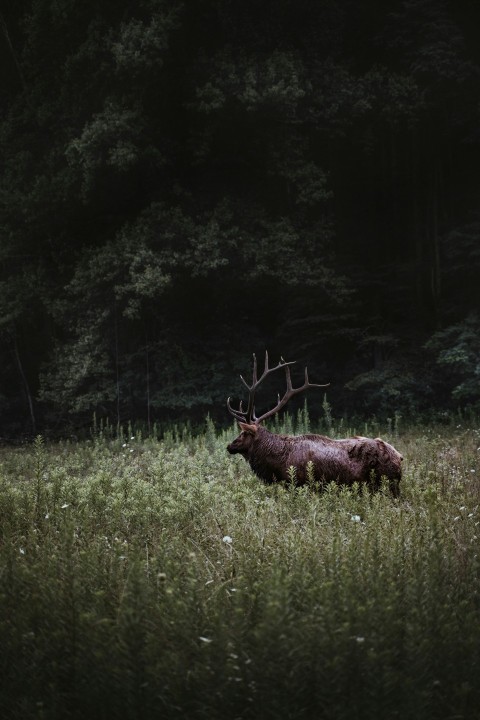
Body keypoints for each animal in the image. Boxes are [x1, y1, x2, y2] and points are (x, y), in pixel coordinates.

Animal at [227, 352, 404, 496]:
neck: (278, 462)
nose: (229, 445)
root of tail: (400, 457)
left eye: (244, 433)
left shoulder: (299, 484)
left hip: (386, 484)